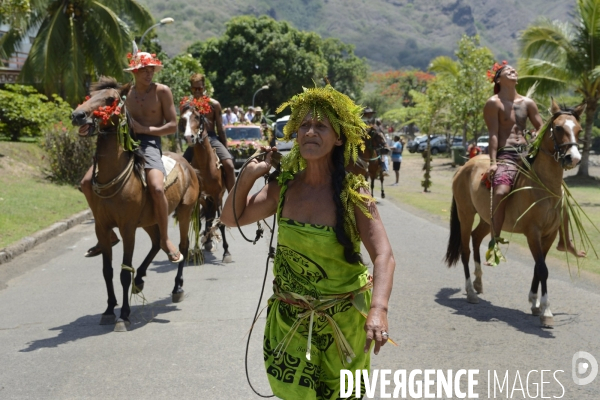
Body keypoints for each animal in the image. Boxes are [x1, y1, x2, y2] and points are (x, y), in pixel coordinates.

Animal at [70, 77, 200, 332]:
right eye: (89, 96)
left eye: (110, 100)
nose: (78, 115)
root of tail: (187, 165)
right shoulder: (102, 226)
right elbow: (107, 271)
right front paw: (109, 309)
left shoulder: (128, 227)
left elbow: (123, 272)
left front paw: (124, 315)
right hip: (149, 221)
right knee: (157, 243)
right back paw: (139, 279)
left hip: (184, 210)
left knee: (181, 245)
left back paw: (177, 285)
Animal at [178, 101, 232, 262]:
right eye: (183, 119)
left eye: (197, 117)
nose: (189, 137)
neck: (205, 165)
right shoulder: (198, 197)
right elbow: (196, 222)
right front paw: (195, 251)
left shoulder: (218, 195)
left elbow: (220, 223)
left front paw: (226, 252)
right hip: (205, 198)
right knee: (208, 215)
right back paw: (207, 240)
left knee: (211, 216)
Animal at [442, 98, 584, 326]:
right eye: (558, 128)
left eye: (579, 129)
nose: (574, 158)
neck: (542, 186)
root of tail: (465, 166)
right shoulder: (533, 233)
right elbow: (542, 268)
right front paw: (546, 311)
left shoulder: (550, 234)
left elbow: (538, 267)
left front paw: (535, 303)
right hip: (465, 214)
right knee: (465, 250)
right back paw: (471, 291)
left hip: (488, 218)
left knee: (476, 237)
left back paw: (479, 282)